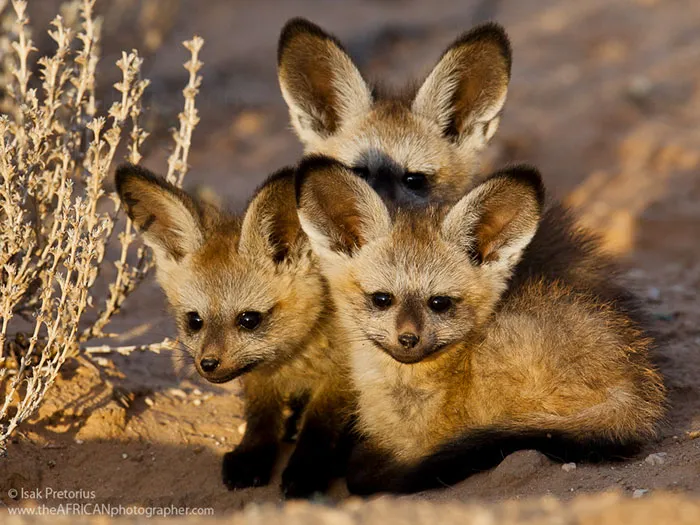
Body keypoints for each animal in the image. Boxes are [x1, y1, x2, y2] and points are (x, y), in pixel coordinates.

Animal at [115, 164, 353, 498]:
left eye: (249, 320)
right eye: (194, 321)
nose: (208, 364)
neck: (295, 360)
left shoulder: (339, 378)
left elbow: (319, 428)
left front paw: (306, 470)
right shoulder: (259, 376)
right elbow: (260, 417)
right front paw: (250, 458)